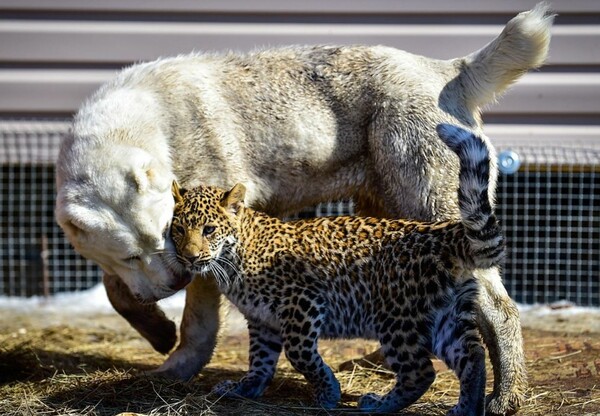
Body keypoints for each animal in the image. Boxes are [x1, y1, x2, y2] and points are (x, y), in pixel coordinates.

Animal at [56, 4, 552, 414]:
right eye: (132, 252)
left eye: (166, 234)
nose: (177, 281)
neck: (148, 127)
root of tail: (444, 68)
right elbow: (117, 290)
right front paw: (157, 331)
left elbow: (197, 322)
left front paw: (174, 368)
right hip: (387, 209)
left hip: (432, 200)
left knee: (499, 309)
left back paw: (507, 396)